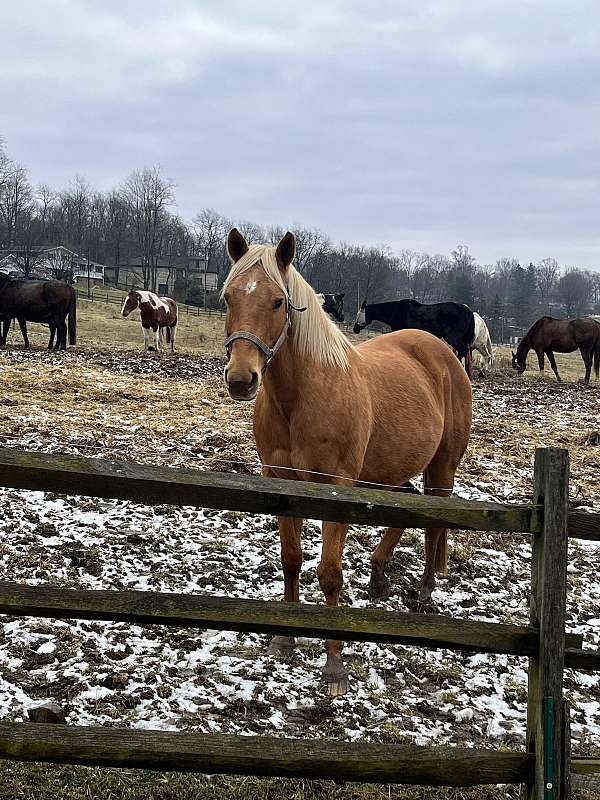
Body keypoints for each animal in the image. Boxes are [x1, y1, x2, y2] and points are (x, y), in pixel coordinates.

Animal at [221, 228, 474, 696]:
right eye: (228, 297)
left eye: (278, 301)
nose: (242, 379)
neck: (303, 397)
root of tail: (445, 354)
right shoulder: (281, 482)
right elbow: (291, 560)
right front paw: (285, 639)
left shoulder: (336, 487)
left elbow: (330, 574)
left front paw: (334, 666)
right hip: (386, 472)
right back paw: (378, 575)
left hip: (441, 470)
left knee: (434, 524)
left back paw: (424, 595)